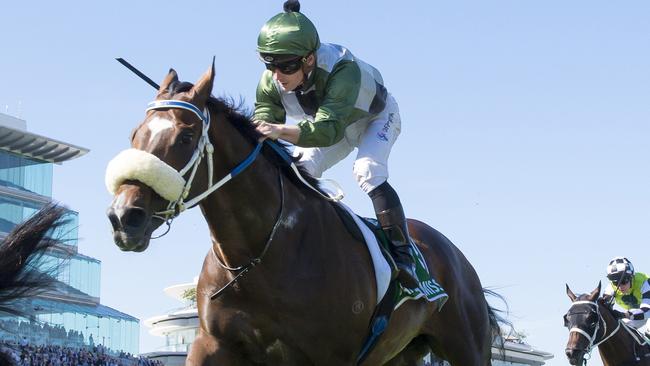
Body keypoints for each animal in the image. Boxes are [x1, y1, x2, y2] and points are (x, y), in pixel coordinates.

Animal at [105, 63, 502, 366]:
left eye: (186, 137)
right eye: (135, 134)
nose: (125, 217)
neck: (259, 254)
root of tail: (456, 256)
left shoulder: (328, 356)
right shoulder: (213, 344)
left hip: (466, 348)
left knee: (371, 174)